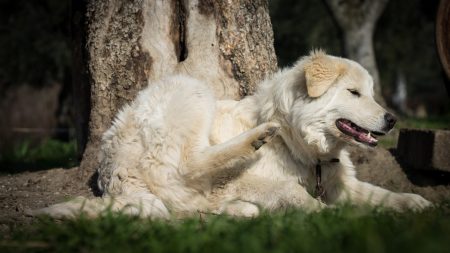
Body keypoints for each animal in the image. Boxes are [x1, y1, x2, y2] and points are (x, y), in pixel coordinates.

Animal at [37, 50, 430, 218]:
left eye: (372, 93)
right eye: (354, 93)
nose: (392, 120)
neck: (299, 143)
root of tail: (114, 167)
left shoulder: (341, 184)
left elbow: (381, 194)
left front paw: (416, 203)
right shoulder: (252, 180)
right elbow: (295, 194)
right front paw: (327, 214)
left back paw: (240, 209)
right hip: (190, 88)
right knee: (191, 165)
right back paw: (255, 138)